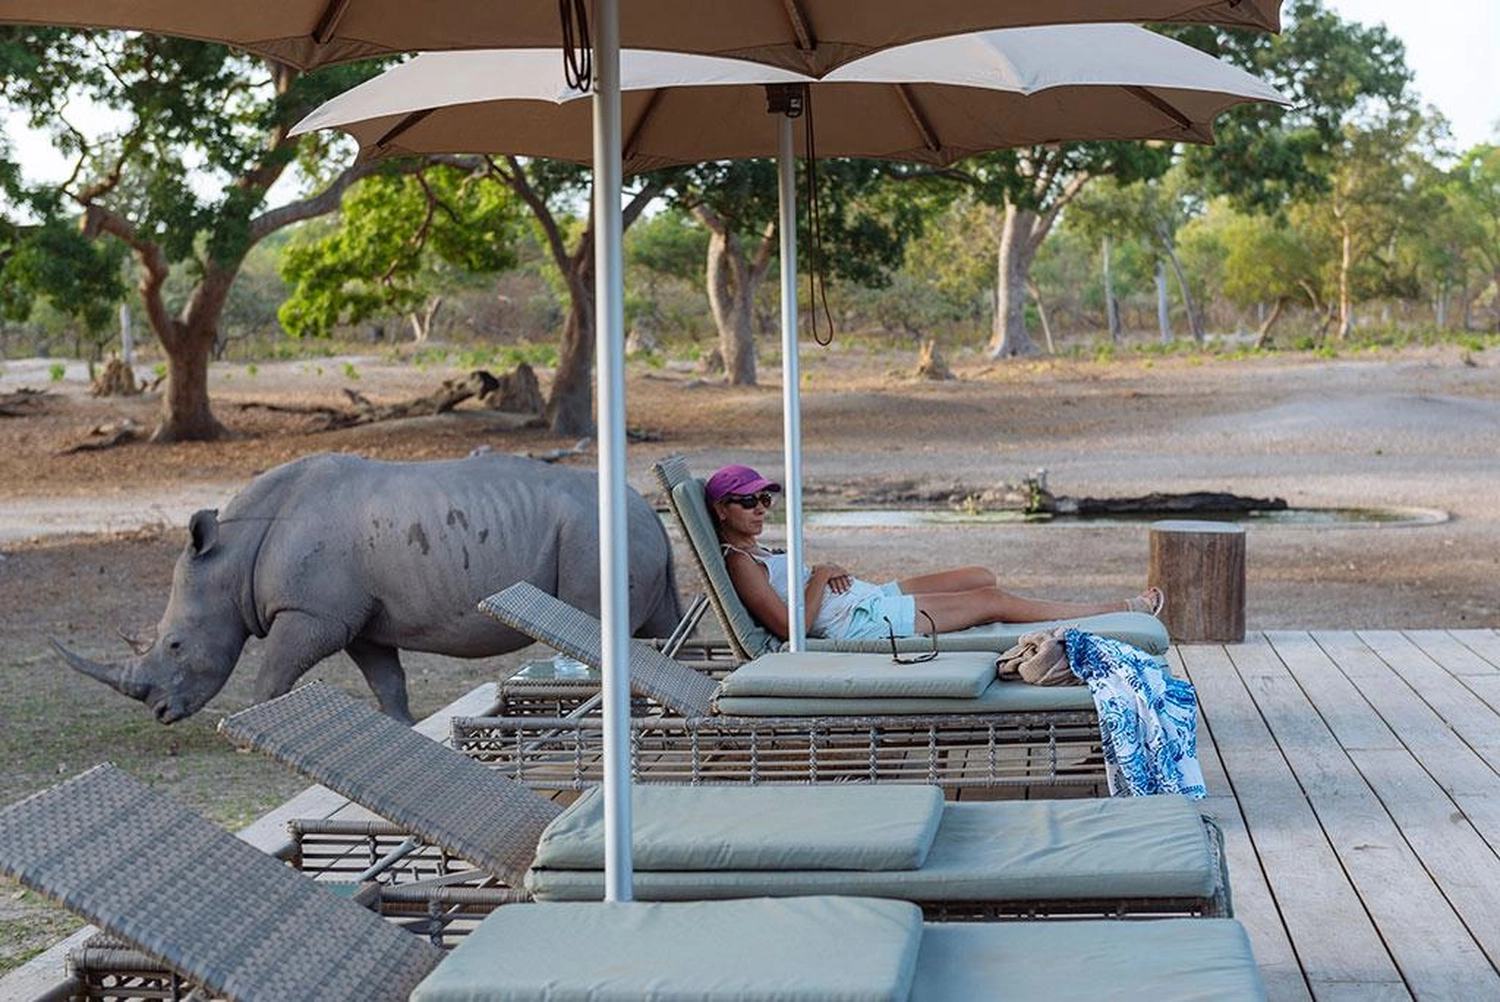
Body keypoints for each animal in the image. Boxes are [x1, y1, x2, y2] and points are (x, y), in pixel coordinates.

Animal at [53, 452, 681, 725]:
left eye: (176, 644)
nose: (160, 711)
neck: (231, 557)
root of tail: (649, 514)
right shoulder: (360, 622)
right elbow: (387, 681)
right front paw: (401, 729)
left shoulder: (313, 613)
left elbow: (271, 677)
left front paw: (253, 725)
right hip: (621, 537)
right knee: (664, 629)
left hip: (593, 537)